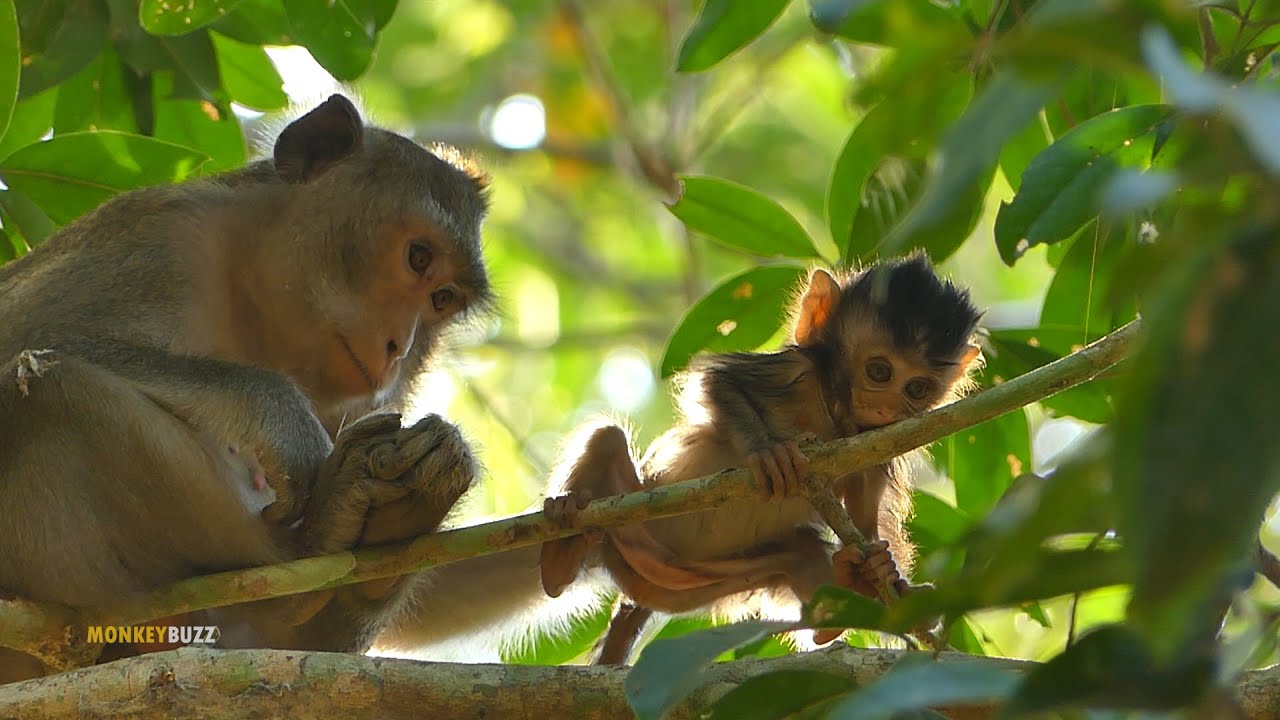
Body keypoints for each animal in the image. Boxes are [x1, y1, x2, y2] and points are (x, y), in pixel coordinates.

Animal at [0, 94, 492, 683]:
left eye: (442, 299)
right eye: (418, 256)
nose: (400, 348)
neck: (246, 298)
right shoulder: (157, 237)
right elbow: (27, 340)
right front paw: (278, 413)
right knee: (43, 391)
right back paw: (303, 551)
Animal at [537, 254, 983, 663]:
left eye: (917, 389)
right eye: (879, 371)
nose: (887, 408)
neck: (833, 412)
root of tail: (642, 590)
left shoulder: (876, 441)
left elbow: (863, 507)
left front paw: (880, 567)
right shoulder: (795, 368)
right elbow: (720, 381)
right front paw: (767, 453)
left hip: (713, 580)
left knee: (802, 549)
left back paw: (840, 599)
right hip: (629, 537)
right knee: (607, 439)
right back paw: (561, 550)